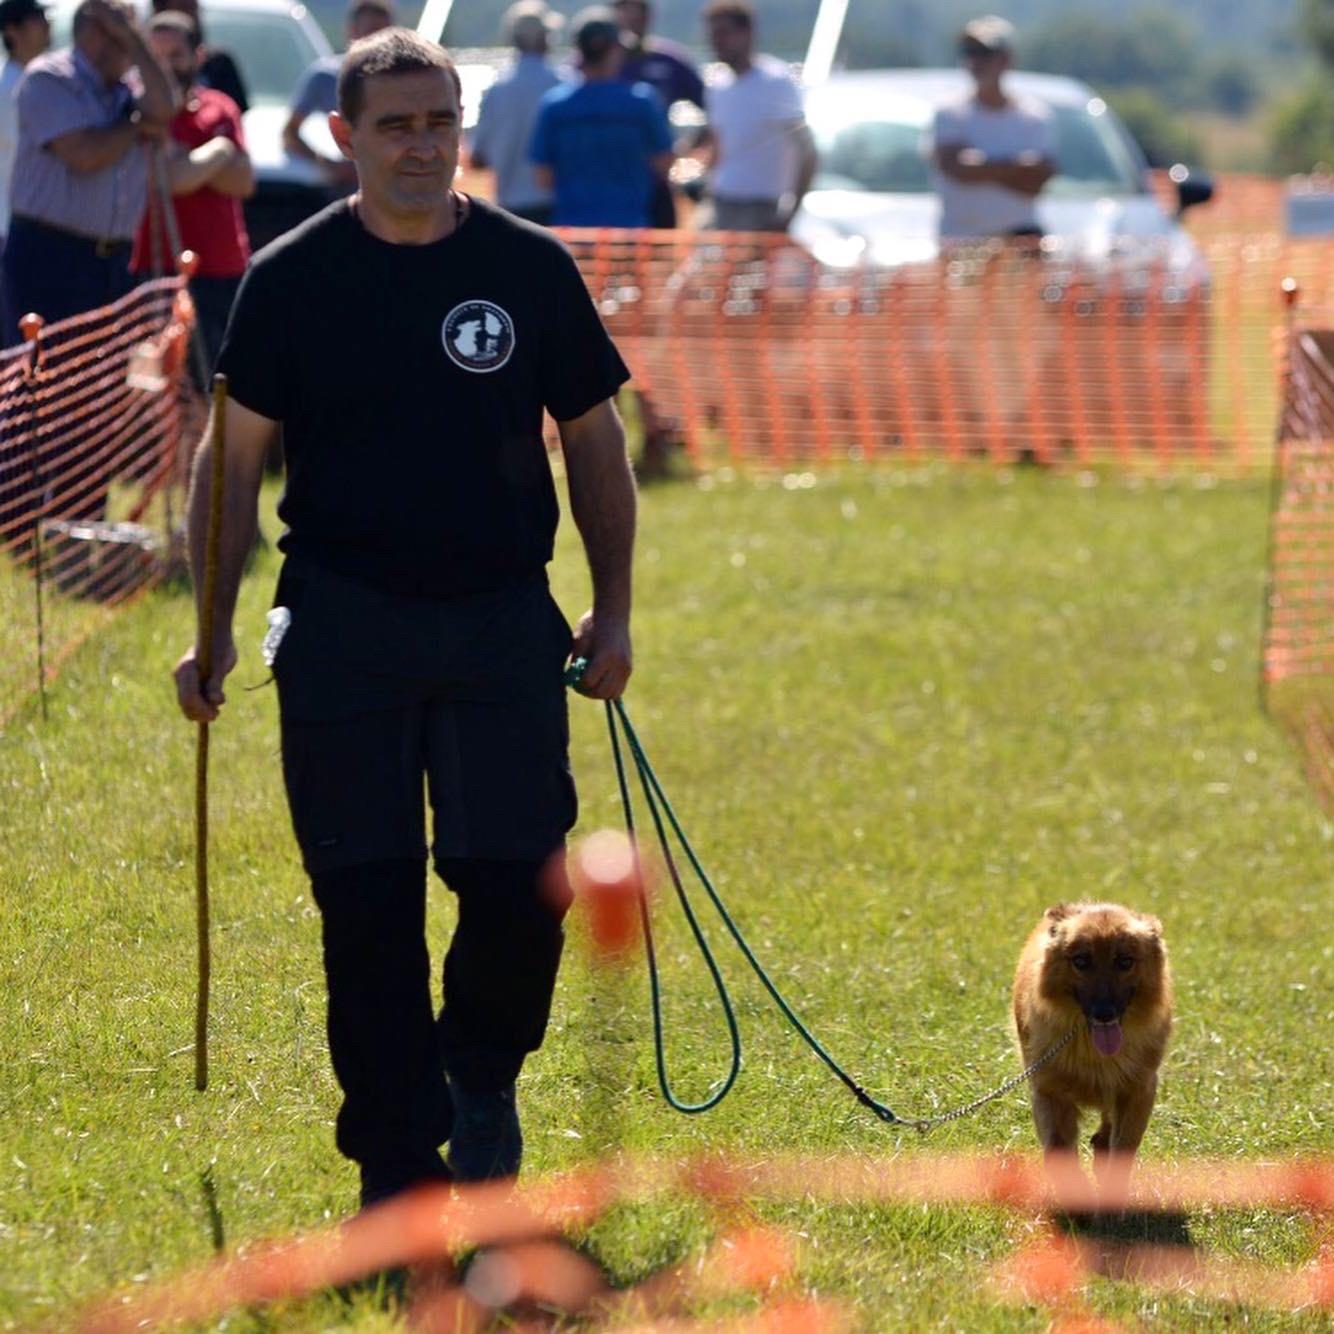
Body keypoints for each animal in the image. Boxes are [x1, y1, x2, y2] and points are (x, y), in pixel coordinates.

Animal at [1013, 901, 1173, 1184]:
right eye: (1081, 961)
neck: (1094, 1054)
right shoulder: (1048, 1092)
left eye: (1125, 961)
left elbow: (1121, 1153)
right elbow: (1058, 1152)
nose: (1104, 1013)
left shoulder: (1138, 1090)